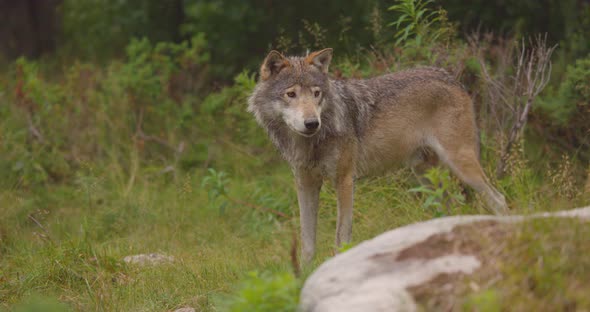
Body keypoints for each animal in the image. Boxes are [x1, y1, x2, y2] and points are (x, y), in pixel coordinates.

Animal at [247, 48, 512, 264]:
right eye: (290, 94)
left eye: (316, 93)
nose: (312, 123)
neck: (309, 143)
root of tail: (450, 77)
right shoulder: (305, 184)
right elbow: (308, 244)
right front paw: (302, 276)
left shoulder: (344, 180)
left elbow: (341, 238)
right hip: (425, 175)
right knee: (452, 207)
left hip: (460, 165)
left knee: (498, 199)